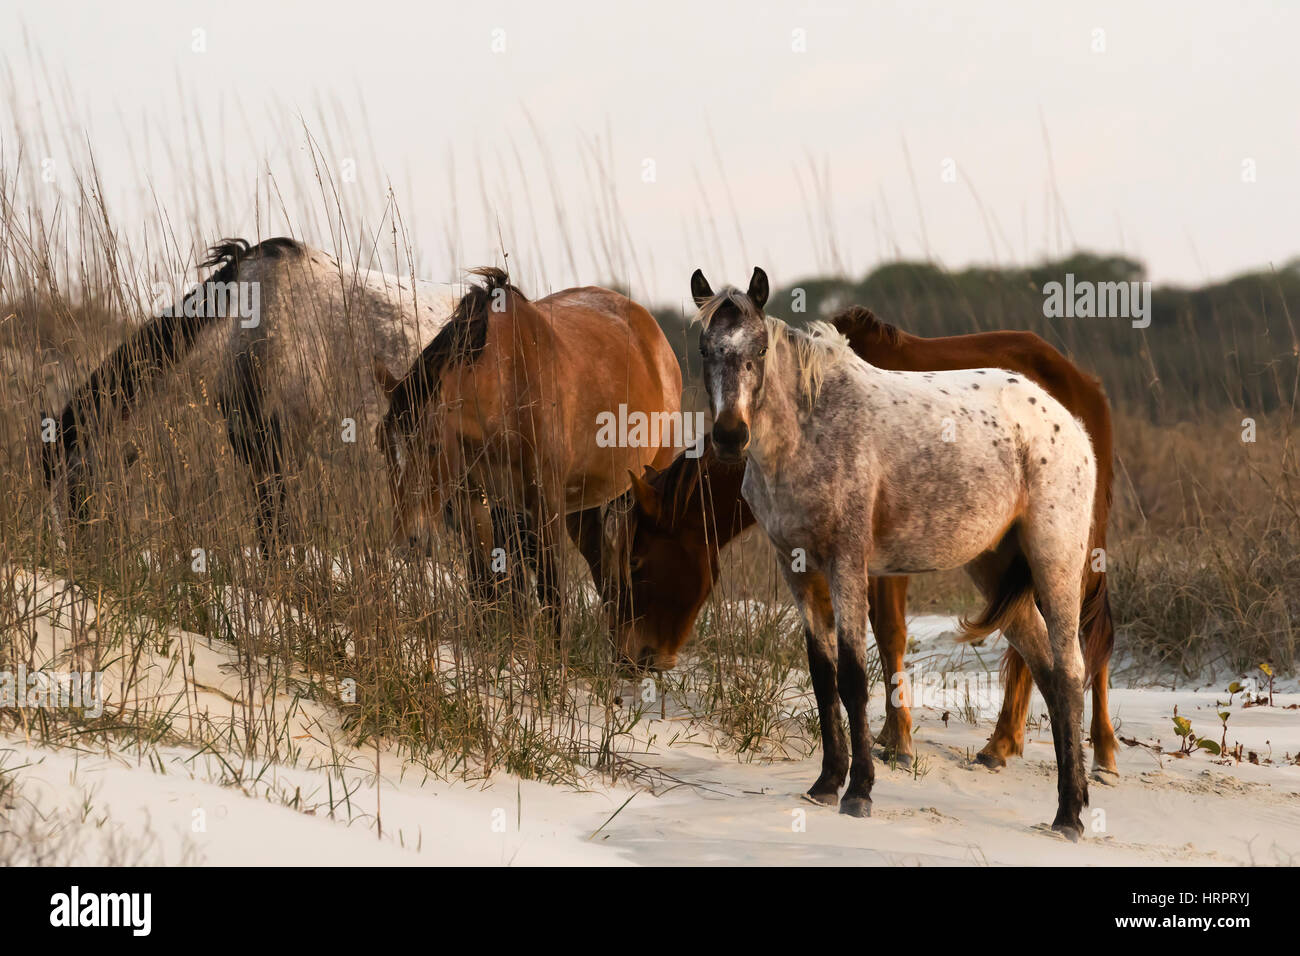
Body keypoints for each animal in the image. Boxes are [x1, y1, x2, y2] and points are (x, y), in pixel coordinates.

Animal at [374, 269, 681, 629]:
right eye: (383, 447)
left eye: (433, 447)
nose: (408, 541)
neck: (508, 387)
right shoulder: (474, 501)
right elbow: (486, 589)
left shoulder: (544, 501)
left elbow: (551, 593)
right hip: (584, 508)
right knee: (607, 578)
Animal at [608, 306, 1118, 780]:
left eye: (637, 562)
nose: (631, 658)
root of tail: (1083, 385)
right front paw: (890, 738)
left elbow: (889, 634)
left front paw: (898, 740)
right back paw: (1004, 743)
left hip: (1071, 544)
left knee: (1090, 635)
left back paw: (1102, 752)